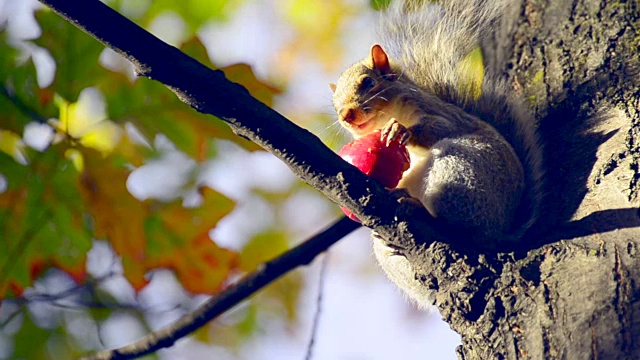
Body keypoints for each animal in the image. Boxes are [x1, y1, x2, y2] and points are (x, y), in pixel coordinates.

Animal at [330, 0, 544, 306]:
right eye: (334, 103)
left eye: (368, 83)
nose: (345, 115)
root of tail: (501, 231)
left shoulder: (442, 114)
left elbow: (439, 127)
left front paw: (401, 131)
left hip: (459, 171)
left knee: (460, 230)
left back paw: (423, 211)